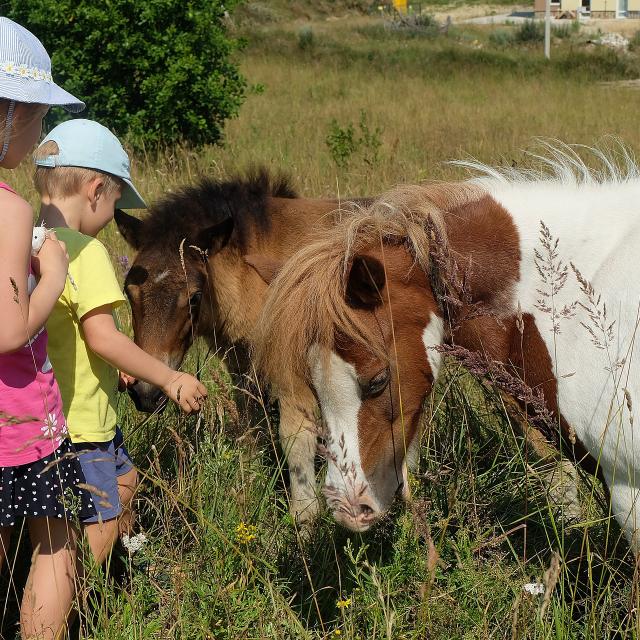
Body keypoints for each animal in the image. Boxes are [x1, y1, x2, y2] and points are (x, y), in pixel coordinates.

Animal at [114, 169, 364, 524]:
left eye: (194, 297)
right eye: (128, 291)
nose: (146, 393)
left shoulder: (292, 372)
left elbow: (296, 438)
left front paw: (305, 521)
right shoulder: (244, 367)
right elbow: (251, 431)